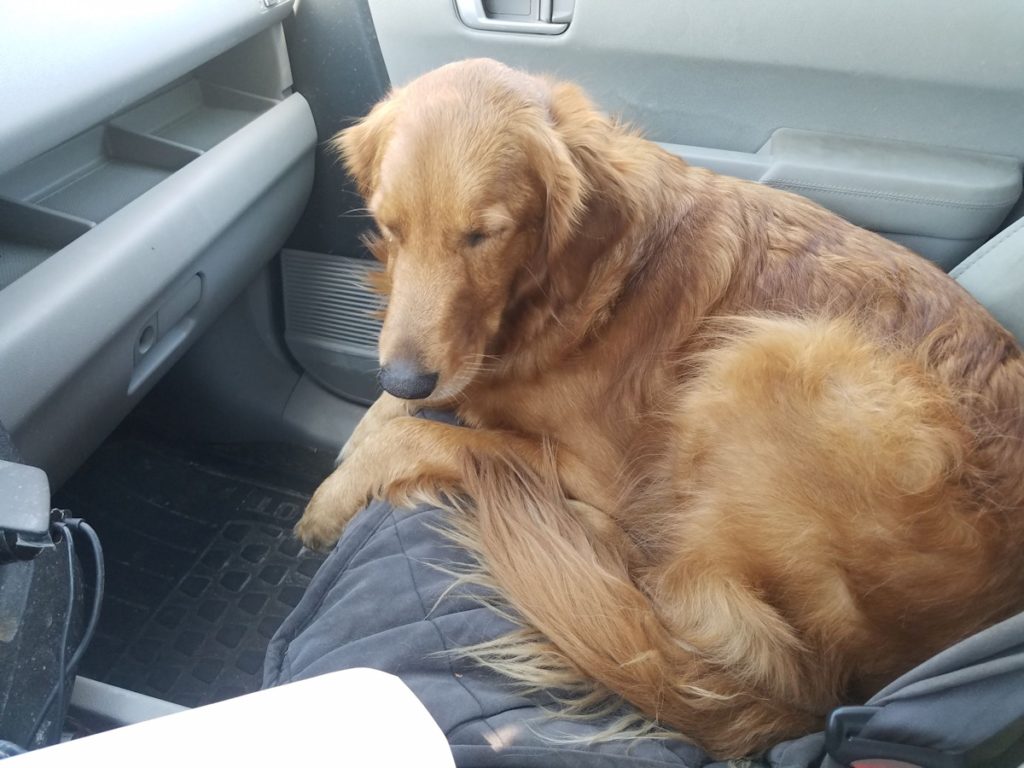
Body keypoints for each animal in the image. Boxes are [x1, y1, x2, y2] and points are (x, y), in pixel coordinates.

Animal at [294, 58, 1024, 757]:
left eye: (483, 235)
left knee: (681, 592)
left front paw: (330, 501)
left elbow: (431, 437)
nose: (407, 377)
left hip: (773, 355)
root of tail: (826, 707)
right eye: (389, 226)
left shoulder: (598, 466)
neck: (565, 287)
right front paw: (367, 431)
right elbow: (400, 412)